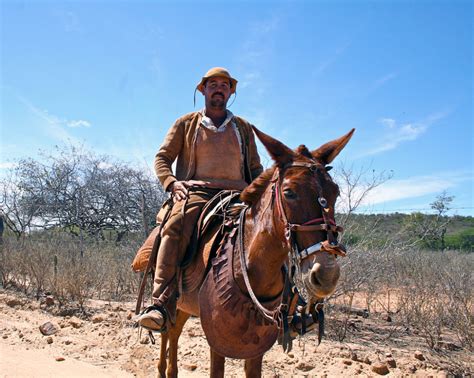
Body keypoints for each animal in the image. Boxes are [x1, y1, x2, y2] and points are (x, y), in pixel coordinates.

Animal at [157, 125, 354, 376]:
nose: (326, 274)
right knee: (166, 329)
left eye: (335, 192)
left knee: (174, 332)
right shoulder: (217, 340)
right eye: (289, 192)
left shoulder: (256, 345)